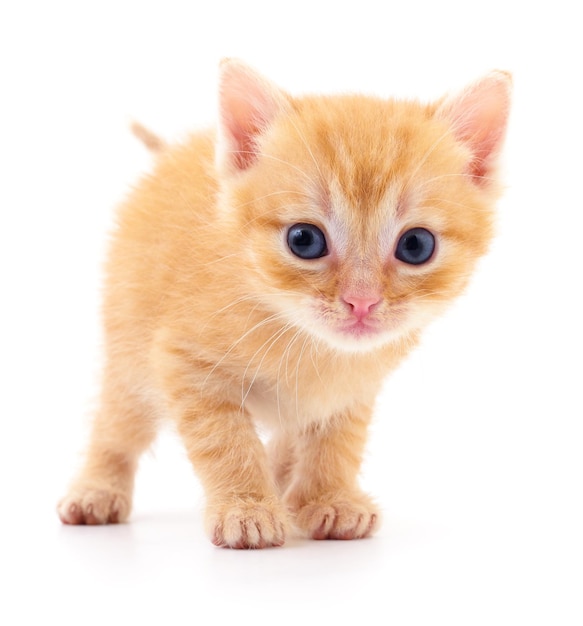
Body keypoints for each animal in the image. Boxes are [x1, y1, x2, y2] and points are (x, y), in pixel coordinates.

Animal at [58, 59, 512, 544]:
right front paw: (246, 507)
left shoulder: (354, 386)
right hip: (129, 351)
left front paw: (329, 497)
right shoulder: (184, 361)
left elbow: (338, 439)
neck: (306, 341)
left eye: (416, 246)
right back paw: (96, 490)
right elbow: (225, 440)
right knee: (117, 427)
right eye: (304, 240)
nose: (362, 302)